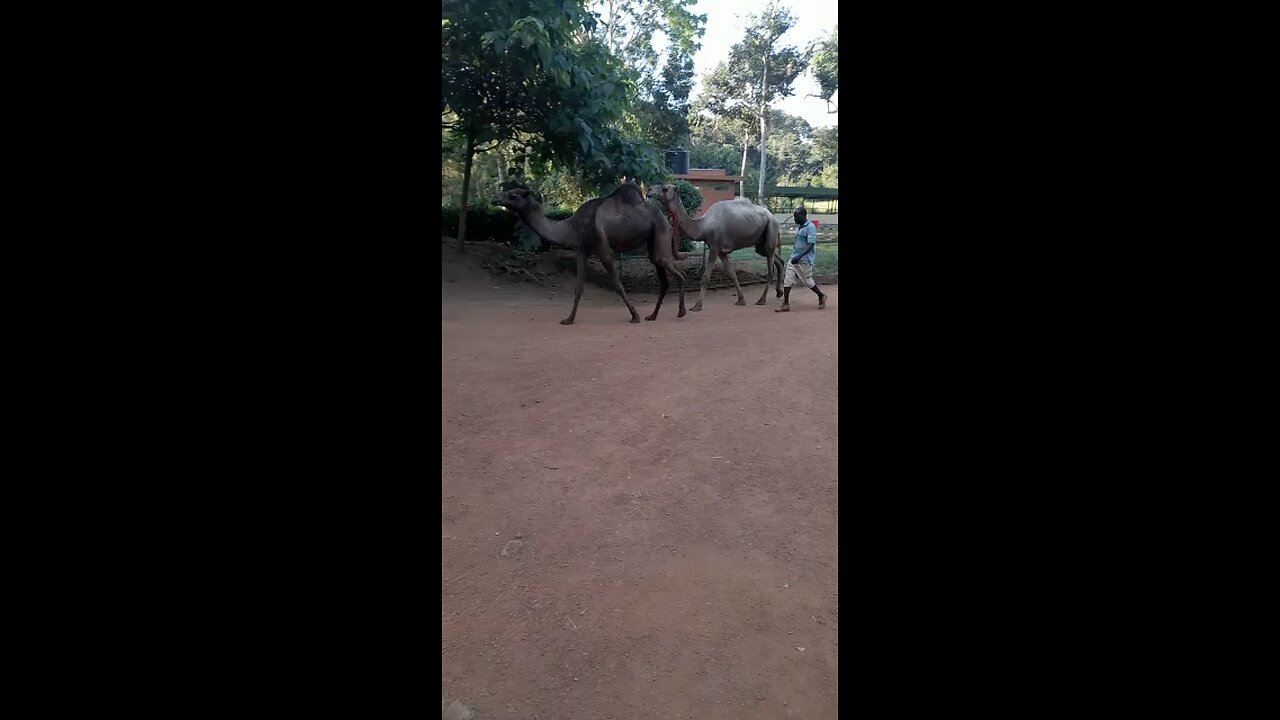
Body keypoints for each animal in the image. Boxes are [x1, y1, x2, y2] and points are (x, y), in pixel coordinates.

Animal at [491, 181, 691, 322]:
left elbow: (617, 284)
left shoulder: (602, 249)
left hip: (661, 232)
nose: (494, 198)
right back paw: (653, 316)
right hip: (653, 243)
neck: (571, 226)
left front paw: (635, 316)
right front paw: (568, 319)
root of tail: (666, 219)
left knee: (677, 272)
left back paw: (681, 312)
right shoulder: (581, 251)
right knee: (662, 276)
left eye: (513, 194)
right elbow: (578, 287)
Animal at [645, 181, 783, 308]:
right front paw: (741, 300)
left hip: (771, 230)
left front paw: (697, 305)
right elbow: (732, 274)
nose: (648, 189)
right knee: (778, 260)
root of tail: (774, 217)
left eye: (665, 188)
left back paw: (762, 299)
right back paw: (779, 292)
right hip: (761, 243)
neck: (703, 226)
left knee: (770, 270)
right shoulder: (721, 251)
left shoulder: (715, 247)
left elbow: (706, 277)